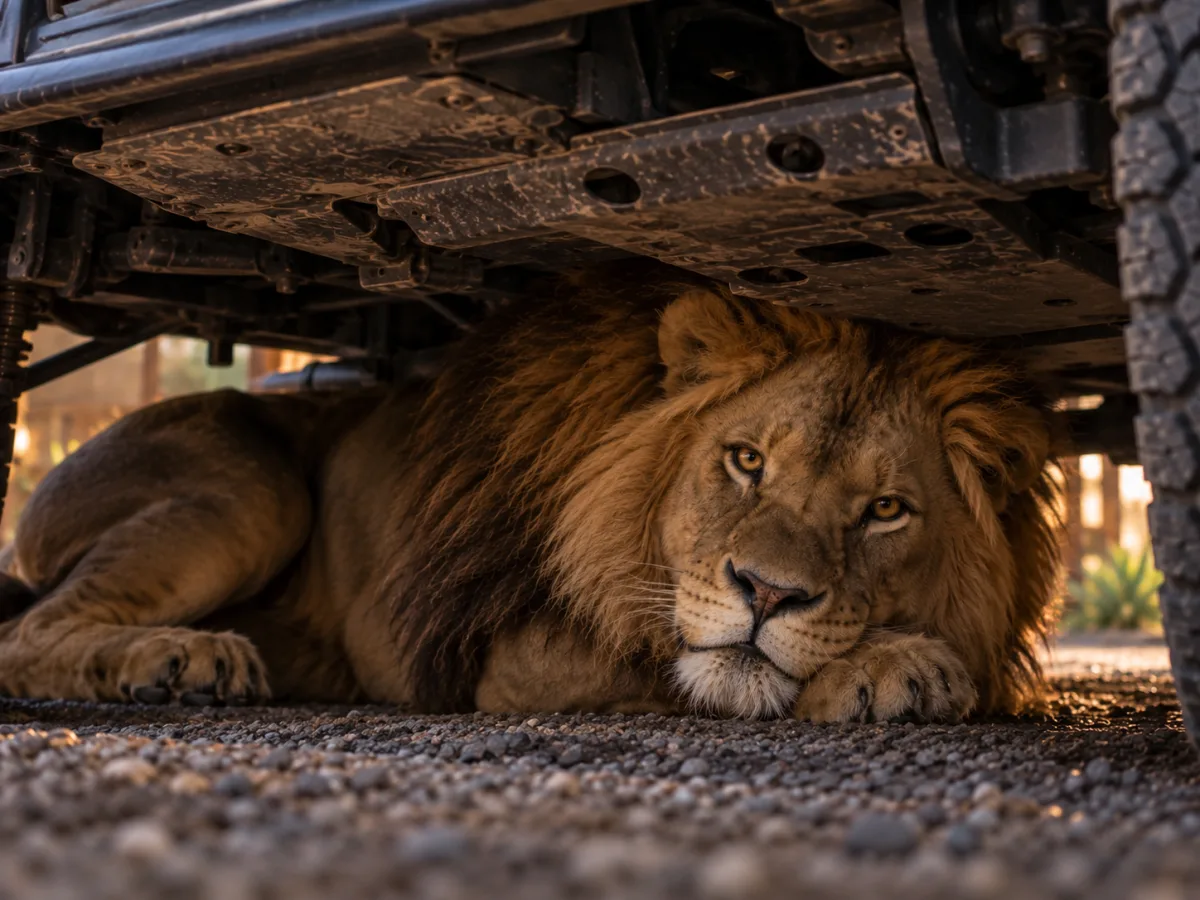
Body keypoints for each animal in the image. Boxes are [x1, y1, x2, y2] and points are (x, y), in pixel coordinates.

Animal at [0, 272, 1061, 722]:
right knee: (27, 632)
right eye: (746, 460)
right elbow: (687, 669)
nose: (766, 593)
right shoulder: (513, 655)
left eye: (885, 511)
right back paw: (182, 658)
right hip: (252, 491)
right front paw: (897, 668)